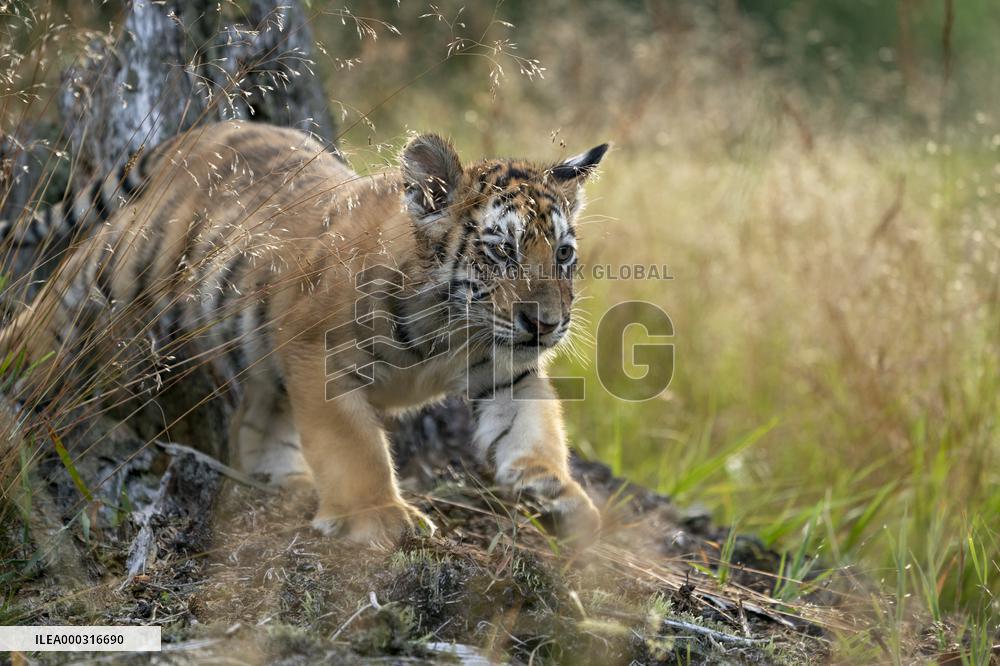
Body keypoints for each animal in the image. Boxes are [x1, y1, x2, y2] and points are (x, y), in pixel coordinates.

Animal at [0, 120, 609, 548]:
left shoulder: (508, 370)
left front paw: (562, 498)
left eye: (562, 254)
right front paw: (382, 518)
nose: (546, 324)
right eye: (501, 252)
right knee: (50, 312)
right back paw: (19, 373)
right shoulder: (321, 356)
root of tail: (210, 127)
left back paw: (282, 479)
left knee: (256, 417)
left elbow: (532, 431)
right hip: (118, 266)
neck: (450, 326)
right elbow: (355, 448)